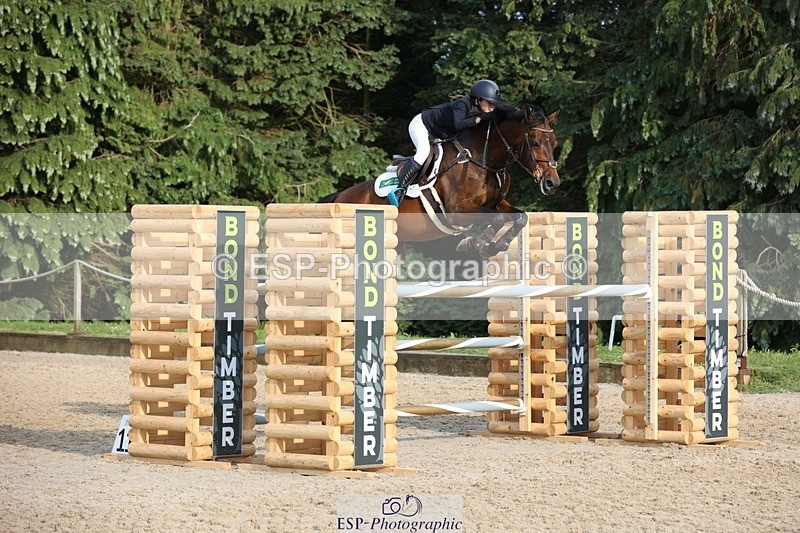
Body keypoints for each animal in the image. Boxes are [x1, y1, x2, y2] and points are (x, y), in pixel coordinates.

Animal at [319, 104, 560, 259]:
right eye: (535, 142)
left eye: (555, 142)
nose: (552, 183)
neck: (483, 159)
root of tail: (340, 196)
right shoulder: (457, 209)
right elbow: (498, 219)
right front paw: (478, 244)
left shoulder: (497, 204)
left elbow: (519, 218)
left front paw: (488, 246)